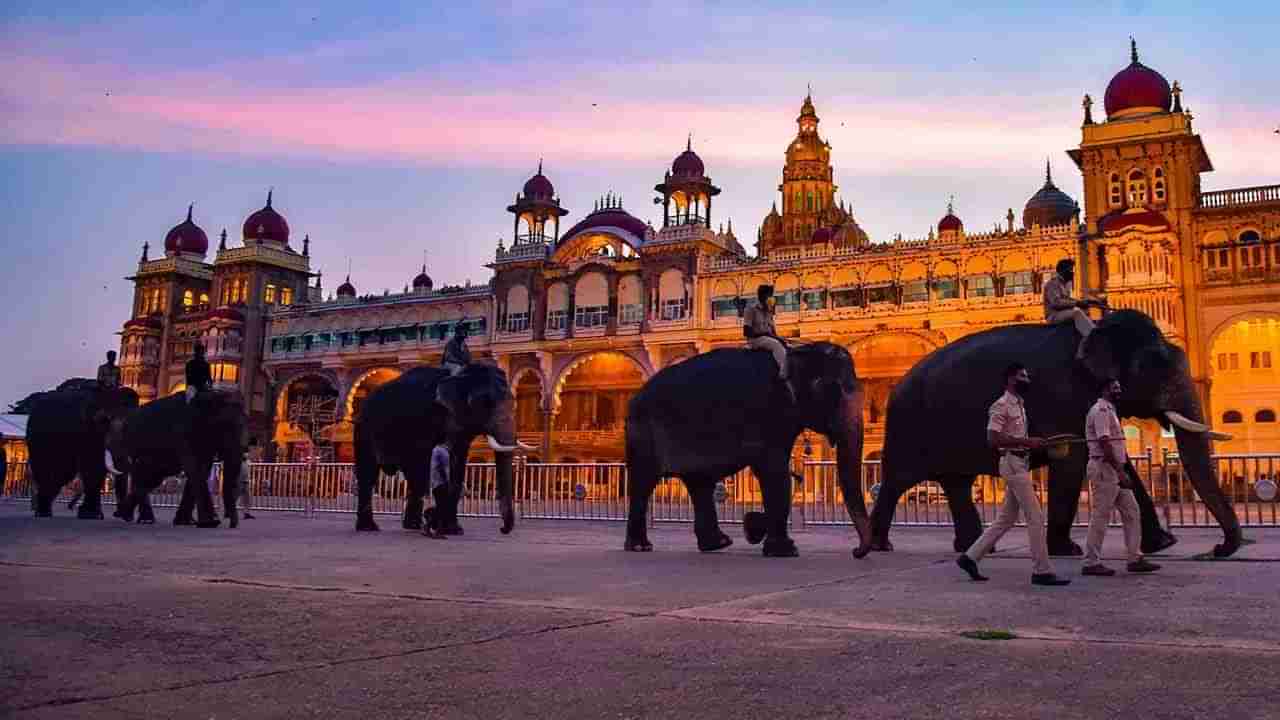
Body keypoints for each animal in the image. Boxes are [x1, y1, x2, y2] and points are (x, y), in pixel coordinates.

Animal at [27, 384, 140, 517]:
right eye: (104, 420)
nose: (117, 514)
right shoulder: (85, 430)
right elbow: (92, 467)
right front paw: (91, 515)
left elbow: (99, 468)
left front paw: (92, 514)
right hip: (36, 439)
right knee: (48, 469)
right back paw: (43, 513)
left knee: (64, 473)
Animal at [106, 392, 248, 527]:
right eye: (225, 426)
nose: (232, 524)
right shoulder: (182, 433)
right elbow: (195, 469)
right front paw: (211, 522)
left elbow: (202, 470)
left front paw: (185, 522)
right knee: (143, 476)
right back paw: (133, 517)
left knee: (150, 478)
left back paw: (128, 515)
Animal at [350, 363, 524, 532]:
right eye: (484, 403)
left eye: (515, 404)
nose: (502, 529)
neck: (460, 375)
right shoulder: (423, 418)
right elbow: (422, 466)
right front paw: (440, 524)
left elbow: (456, 467)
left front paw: (454, 529)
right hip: (363, 429)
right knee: (369, 474)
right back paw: (369, 527)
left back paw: (413, 525)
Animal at [624, 340, 875, 556]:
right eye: (830, 389)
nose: (856, 551)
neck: (795, 352)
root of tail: (635, 397)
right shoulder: (768, 412)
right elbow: (774, 473)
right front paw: (785, 550)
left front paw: (753, 527)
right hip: (643, 434)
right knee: (644, 482)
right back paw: (640, 547)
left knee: (699, 483)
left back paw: (718, 544)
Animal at [870, 307, 1239, 556]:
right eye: (1154, 366)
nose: (1216, 550)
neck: (1096, 329)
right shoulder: (1065, 396)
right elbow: (1071, 462)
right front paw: (1067, 550)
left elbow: (1119, 461)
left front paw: (1163, 544)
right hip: (908, 424)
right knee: (896, 481)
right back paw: (880, 545)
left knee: (956, 482)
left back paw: (972, 546)